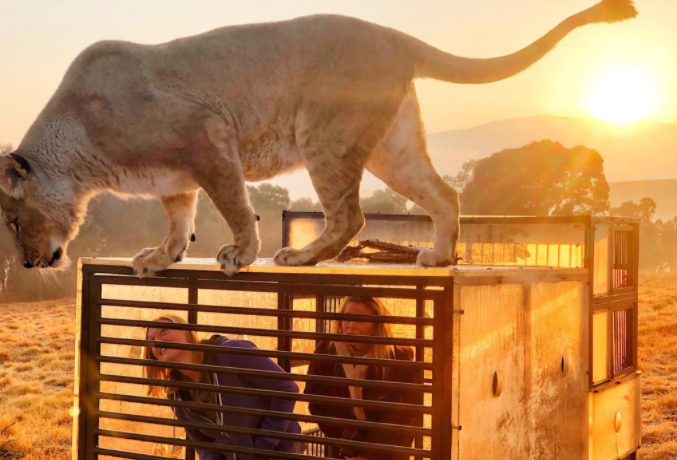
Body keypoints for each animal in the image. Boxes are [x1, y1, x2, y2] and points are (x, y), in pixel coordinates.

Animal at [0, 1, 632, 276]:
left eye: (11, 220)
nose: (27, 264)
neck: (83, 162)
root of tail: (395, 36)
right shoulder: (175, 176)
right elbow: (179, 219)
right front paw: (161, 256)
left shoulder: (206, 133)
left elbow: (235, 205)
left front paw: (239, 254)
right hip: (393, 148)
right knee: (444, 194)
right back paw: (437, 256)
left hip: (323, 136)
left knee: (350, 215)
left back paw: (301, 255)